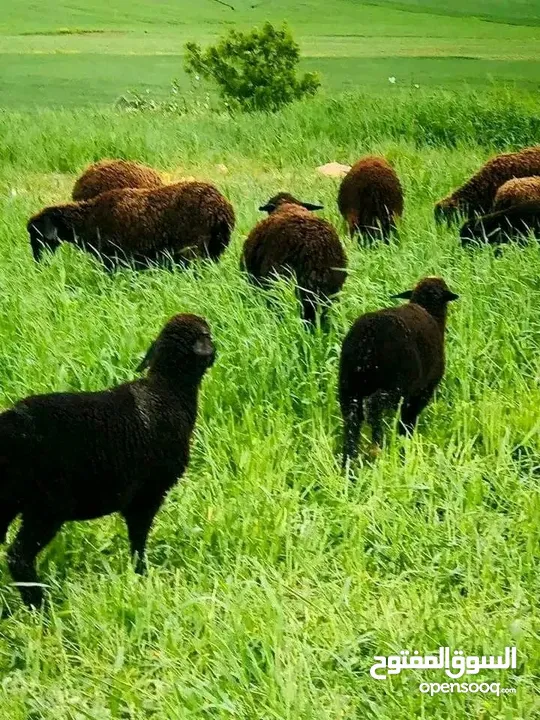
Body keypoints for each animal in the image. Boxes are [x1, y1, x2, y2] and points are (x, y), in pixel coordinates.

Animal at [0, 316, 215, 608]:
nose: (215, 353)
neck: (169, 390)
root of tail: (11, 423)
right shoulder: (148, 494)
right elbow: (138, 537)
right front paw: (141, 573)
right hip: (47, 505)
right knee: (19, 556)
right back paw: (39, 605)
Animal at [26, 181, 234, 268]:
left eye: (36, 233)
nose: (38, 262)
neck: (88, 219)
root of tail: (221, 209)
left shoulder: (114, 259)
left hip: (192, 250)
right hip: (214, 250)